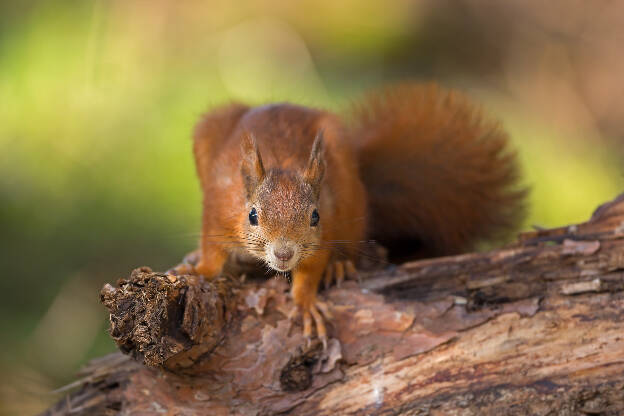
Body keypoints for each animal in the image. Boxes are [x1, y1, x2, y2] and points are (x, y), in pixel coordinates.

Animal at [191, 83, 528, 346]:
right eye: (252, 216)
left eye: (314, 217)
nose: (284, 253)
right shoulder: (217, 212)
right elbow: (211, 250)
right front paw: (198, 270)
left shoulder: (323, 232)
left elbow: (311, 269)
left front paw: (306, 302)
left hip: (350, 193)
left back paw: (339, 266)